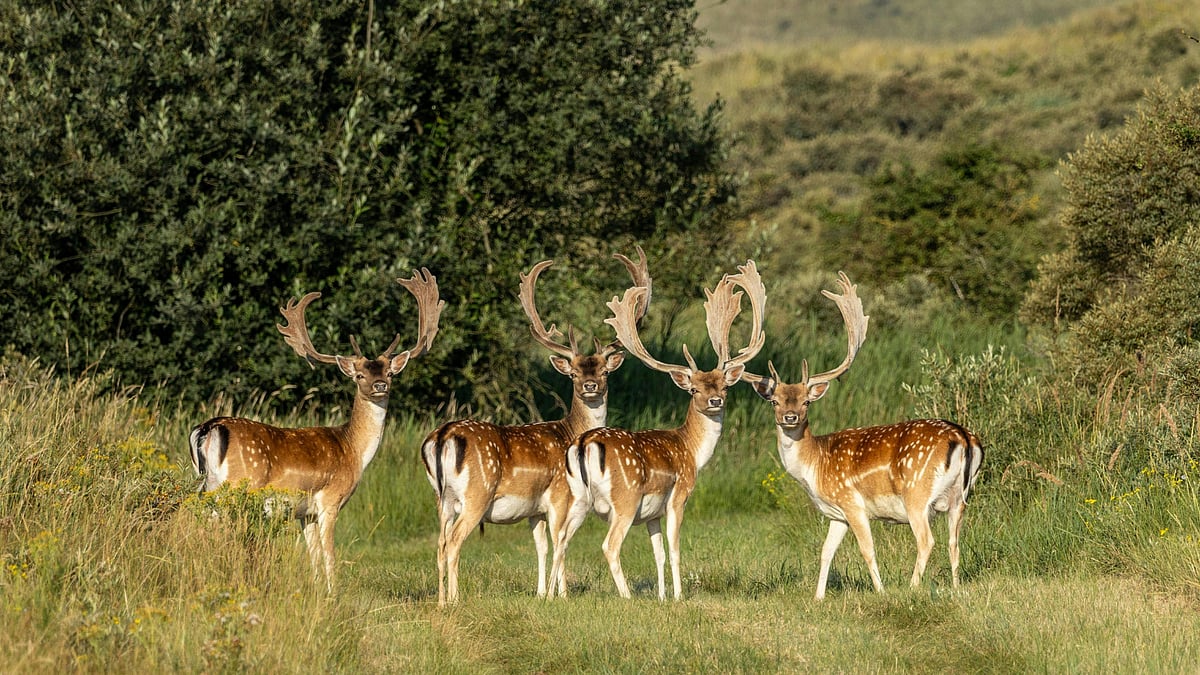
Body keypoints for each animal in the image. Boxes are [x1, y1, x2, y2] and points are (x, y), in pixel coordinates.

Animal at [189, 269, 444, 592]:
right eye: (359, 375)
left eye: (389, 372)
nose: (379, 385)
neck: (354, 450)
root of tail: (207, 428)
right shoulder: (330, 500)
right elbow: (330, 555)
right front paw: (334, 593)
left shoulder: (305, 512)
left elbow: (313, 557)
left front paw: (318, 591)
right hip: (237, 487)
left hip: (206, 487)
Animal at [421, 249, 651, 606]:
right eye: (573, 373)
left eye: (603, 371)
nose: (590, 386)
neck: (569, 432)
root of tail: (442, 437)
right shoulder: (559, 495)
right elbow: (560, 542)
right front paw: (562, 595)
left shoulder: (534, 509)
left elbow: (541, 546)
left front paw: (542, 592)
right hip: (476, 493)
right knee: (455, 541)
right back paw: (456, 599)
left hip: (441, 499)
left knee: (440, 543)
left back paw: (443, 600)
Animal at [562, 260, 766, 601]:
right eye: (694, 390)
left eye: (724, 386)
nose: (715, 401)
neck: (691, 451)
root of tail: (586, 442)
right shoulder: (678, 495)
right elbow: (674, 550)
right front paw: (679, 596)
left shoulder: (652, 514)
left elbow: (657, 552)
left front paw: (662, 596)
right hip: (625, 497)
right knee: (609, 545)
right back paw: (627, 596)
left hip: (576, 496)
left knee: (560, 538)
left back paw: (556, 594)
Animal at [742, 272, 984, 600]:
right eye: (775, 401)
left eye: (806, 402)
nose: (789, 418)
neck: (814, 466)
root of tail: (964, 438)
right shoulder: (837, 514)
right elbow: (825, 552)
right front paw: (818, 597)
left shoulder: (852, 503)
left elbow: (867, 550)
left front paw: (880, 591)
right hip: (960, 498)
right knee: (954, 542)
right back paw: (957, 588)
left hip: (917, 494)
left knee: (927, 541)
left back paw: (911, 587)